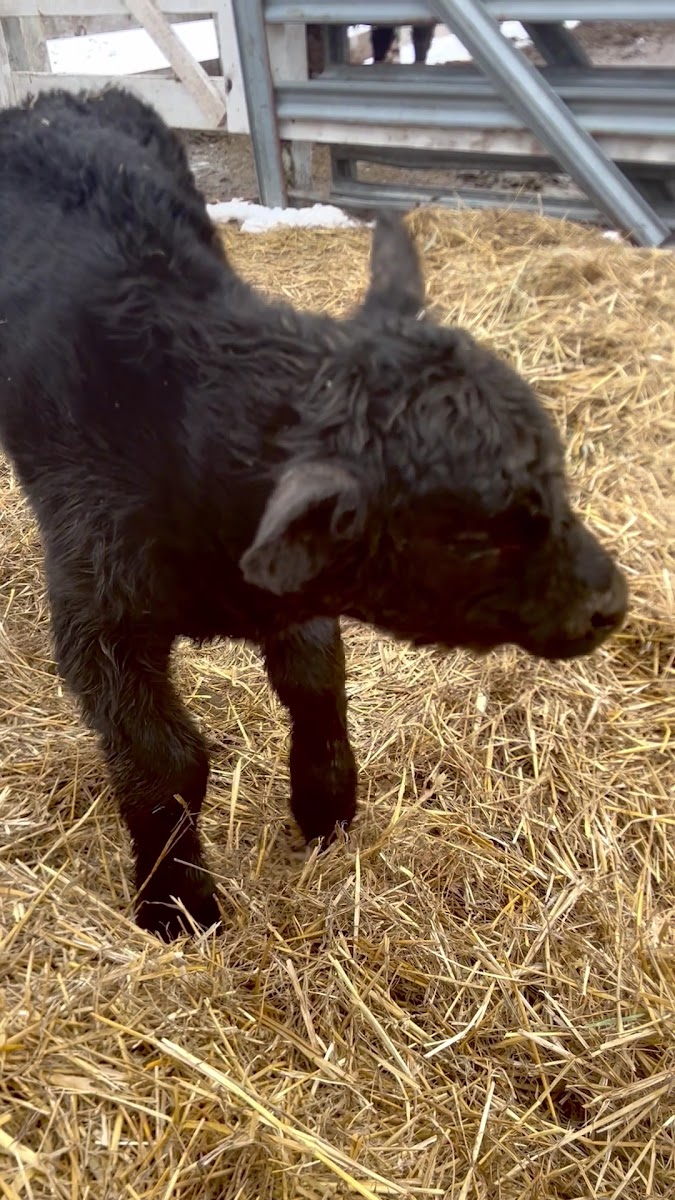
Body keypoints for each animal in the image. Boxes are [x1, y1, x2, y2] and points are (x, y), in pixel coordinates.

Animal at [0, 87, 627, 939]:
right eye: (467, 537)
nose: (609, 604)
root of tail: (53, 99)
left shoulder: (295, 594)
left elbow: (314, 680)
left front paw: (326, 803)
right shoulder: (98, 620)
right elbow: (167, 760)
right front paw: (176, 903)